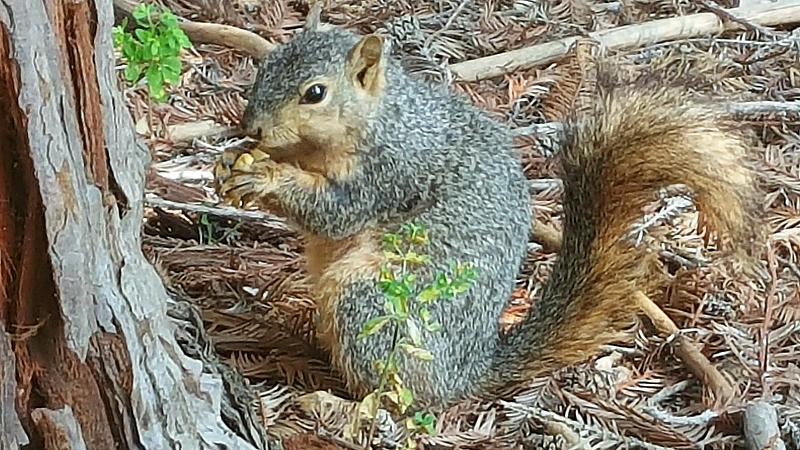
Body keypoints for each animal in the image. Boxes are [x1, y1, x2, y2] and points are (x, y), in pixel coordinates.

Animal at [212, 4, 764, 412]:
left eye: (316, 93)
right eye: (264, 66)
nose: (250, 127)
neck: (377, 117)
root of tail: (466, 374)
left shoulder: (391, 169)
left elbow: (334, 211)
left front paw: (264, 176)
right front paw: (228, 163)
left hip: (375, 303)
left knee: (398, 398)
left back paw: (335, 402)